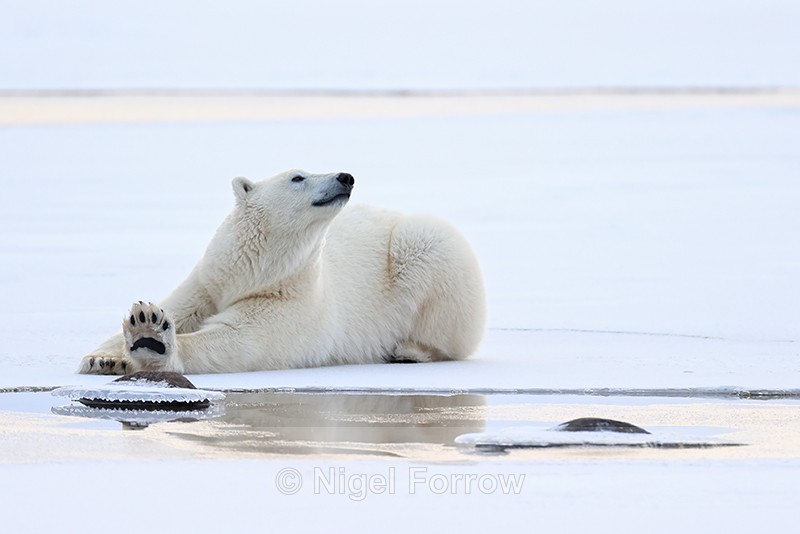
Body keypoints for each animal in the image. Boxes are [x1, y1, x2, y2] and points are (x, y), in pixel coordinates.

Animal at [77, 170, 486, 375]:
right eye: (298, 177)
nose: (345, 176)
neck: (253, 273)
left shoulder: (289, 302)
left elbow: (234, 341)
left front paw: (153, 340)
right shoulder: (206, 283)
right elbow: (179, 306)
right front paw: (105, 356)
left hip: (425, 250)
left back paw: (408, 350)